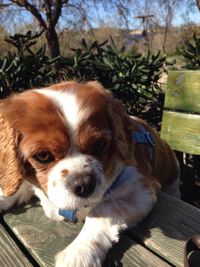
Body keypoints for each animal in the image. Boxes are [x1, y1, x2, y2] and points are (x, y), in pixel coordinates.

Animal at [0, 81, 179, 267]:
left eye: (99, 145)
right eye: (42, 156)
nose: (84, 184)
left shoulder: (141, 191)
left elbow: (101, 209)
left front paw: (77, 253)